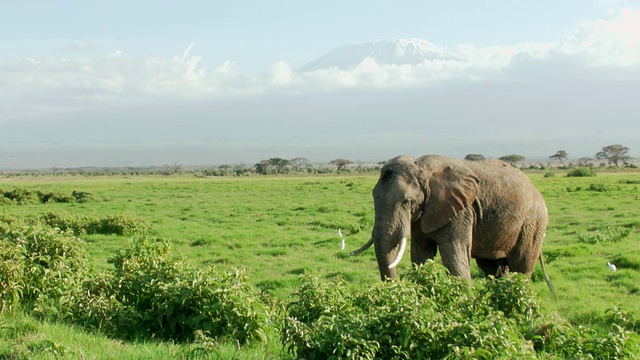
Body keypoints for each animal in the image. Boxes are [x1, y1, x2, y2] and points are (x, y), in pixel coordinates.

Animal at [350, 154, 556, 292]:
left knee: (521, 265)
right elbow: (420, 254)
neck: (422, 169)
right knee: (493, 268)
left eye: (407, 202)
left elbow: (453, 254)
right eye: (374, 196)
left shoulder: (461, 210)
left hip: (533, 223)